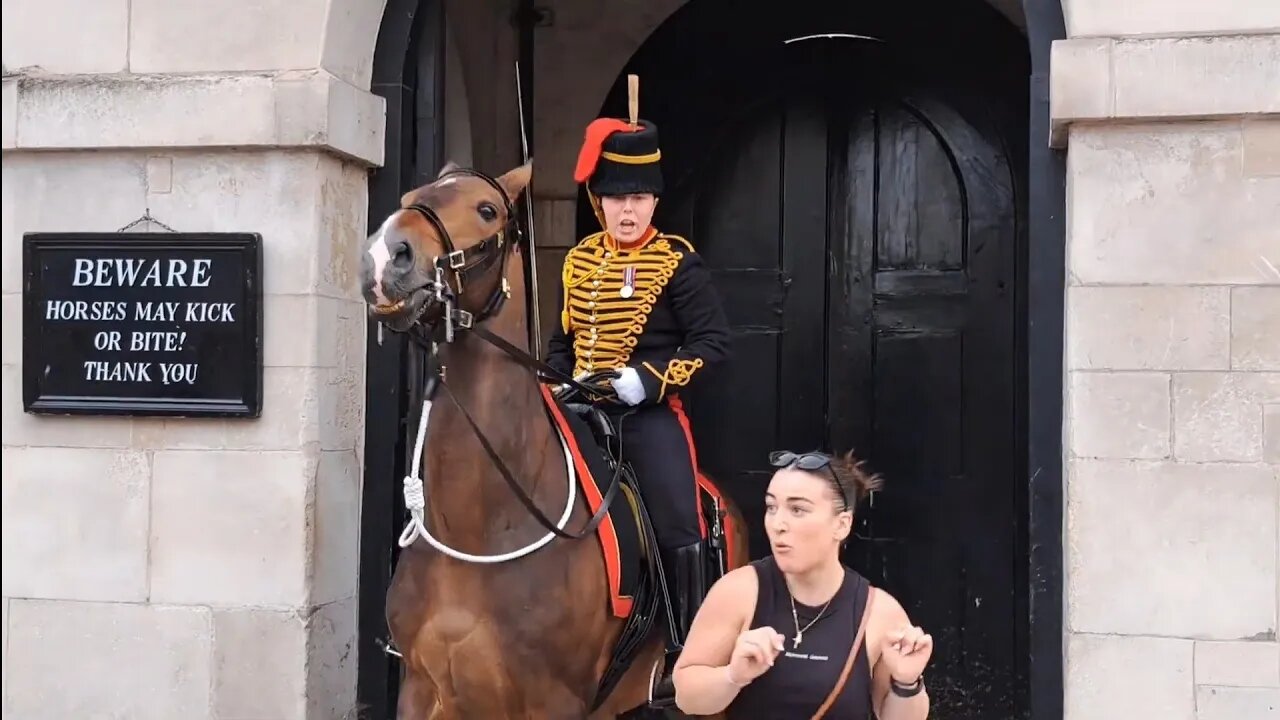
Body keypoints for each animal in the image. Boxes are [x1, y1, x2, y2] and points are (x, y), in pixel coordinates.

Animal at [355, 158, 747, 717]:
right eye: (411, 195)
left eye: (487, 209)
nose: (384, 258)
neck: (480, 525)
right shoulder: (421, 692)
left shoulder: (553, 701)